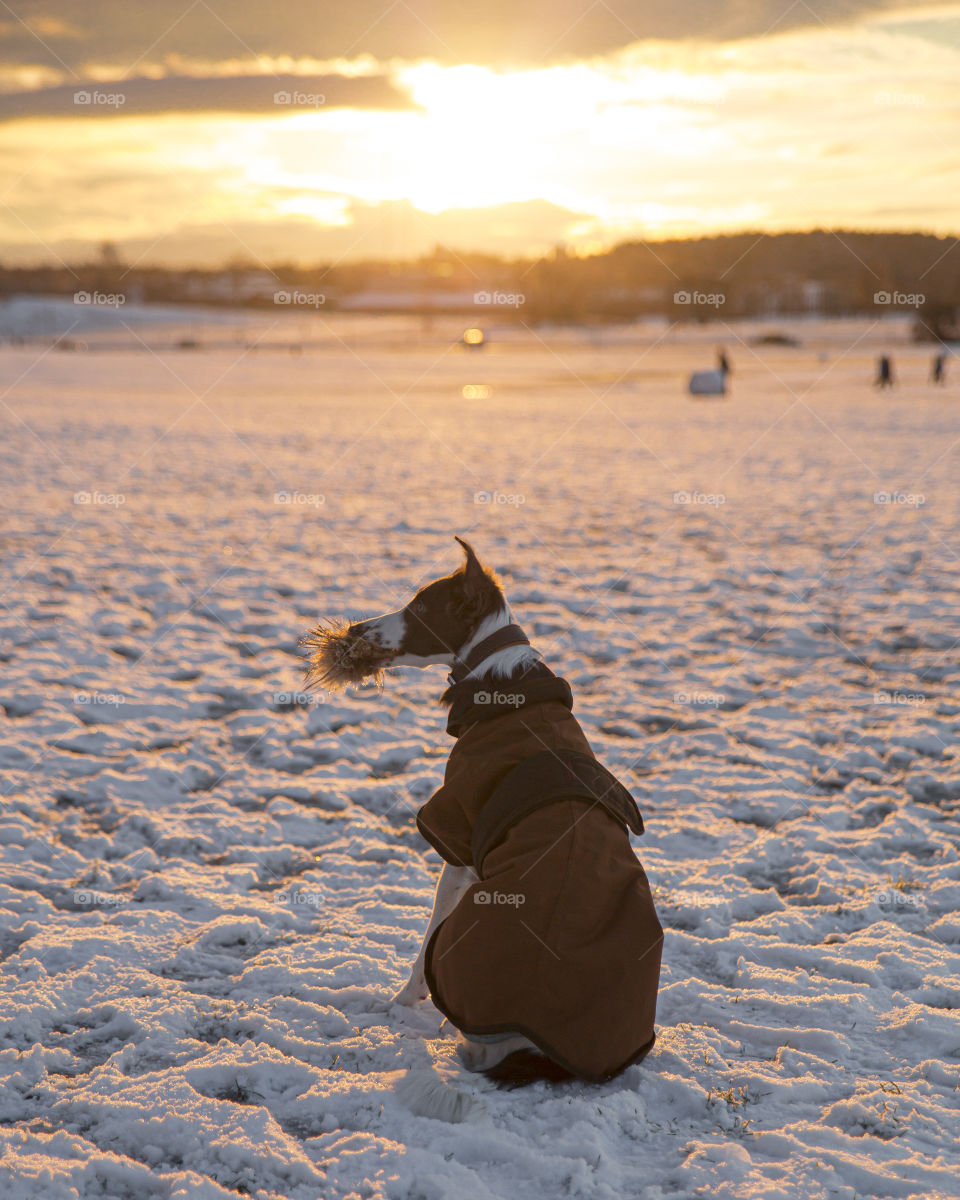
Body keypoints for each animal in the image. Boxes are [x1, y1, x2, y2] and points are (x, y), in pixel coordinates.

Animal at [303, 540, 662, 1084]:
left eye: (420, 607)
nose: (357, 629)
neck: (503, 681)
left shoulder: (457, 842)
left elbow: (422, 946)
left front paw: (400, 1004)